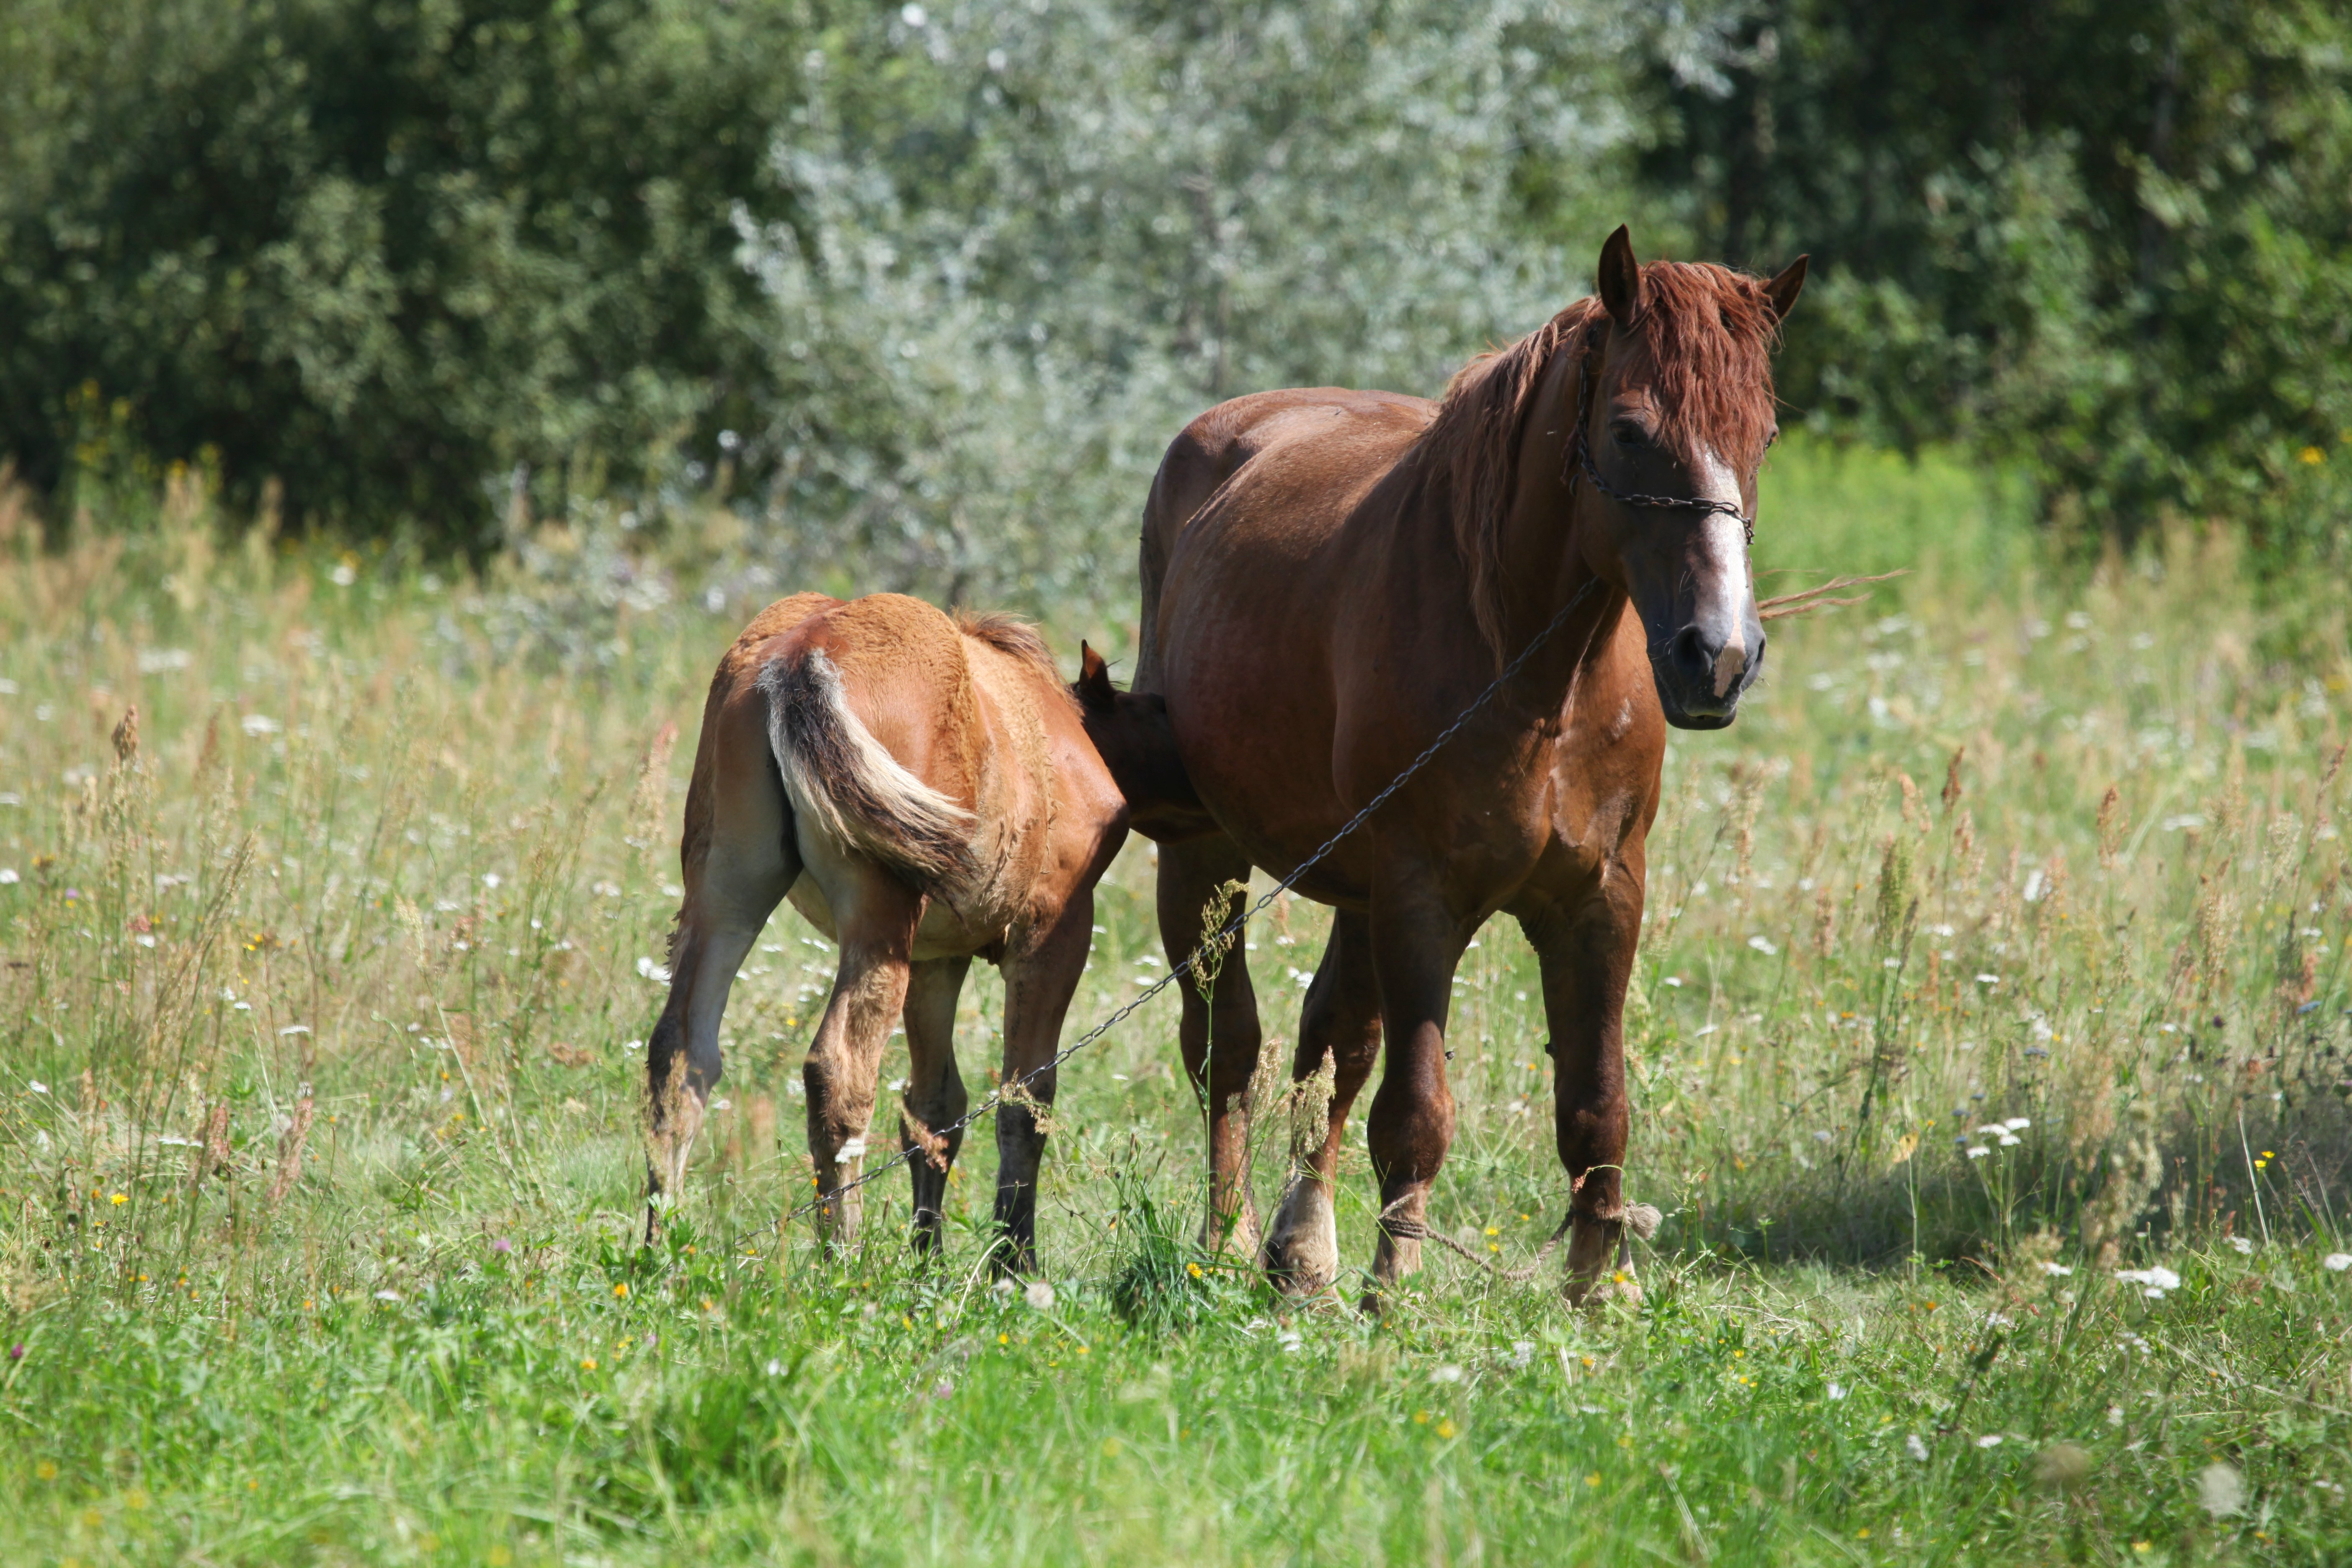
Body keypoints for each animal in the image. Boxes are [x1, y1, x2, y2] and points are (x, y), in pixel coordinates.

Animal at [640, 595, 1124, 1269]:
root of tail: (801, 656)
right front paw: (1014, 1263)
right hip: (878, 916)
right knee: (839, 1073)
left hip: (724, 893)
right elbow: (1024, 1101)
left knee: (681, 1056)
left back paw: (659, 1255)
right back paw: (844, 1260)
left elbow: (934, 1108)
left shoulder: (936, 959)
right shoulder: (1053, 936)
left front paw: (929, 1260)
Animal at [1129, 230, 1806, 1316]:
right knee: (1227, 1045)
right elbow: (1414, 1110)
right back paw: (1224, 1239)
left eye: (1766, 432)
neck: (1539, 676)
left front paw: (1599, 1284)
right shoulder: (1422, 899)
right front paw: (1392, 1284)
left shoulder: (1600, 898)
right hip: (1206, 858)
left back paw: (1298, 1250)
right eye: (1629, 431)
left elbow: (1595, 1105)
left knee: (1332, 1038)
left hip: (1353, 890)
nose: (1720, 655)